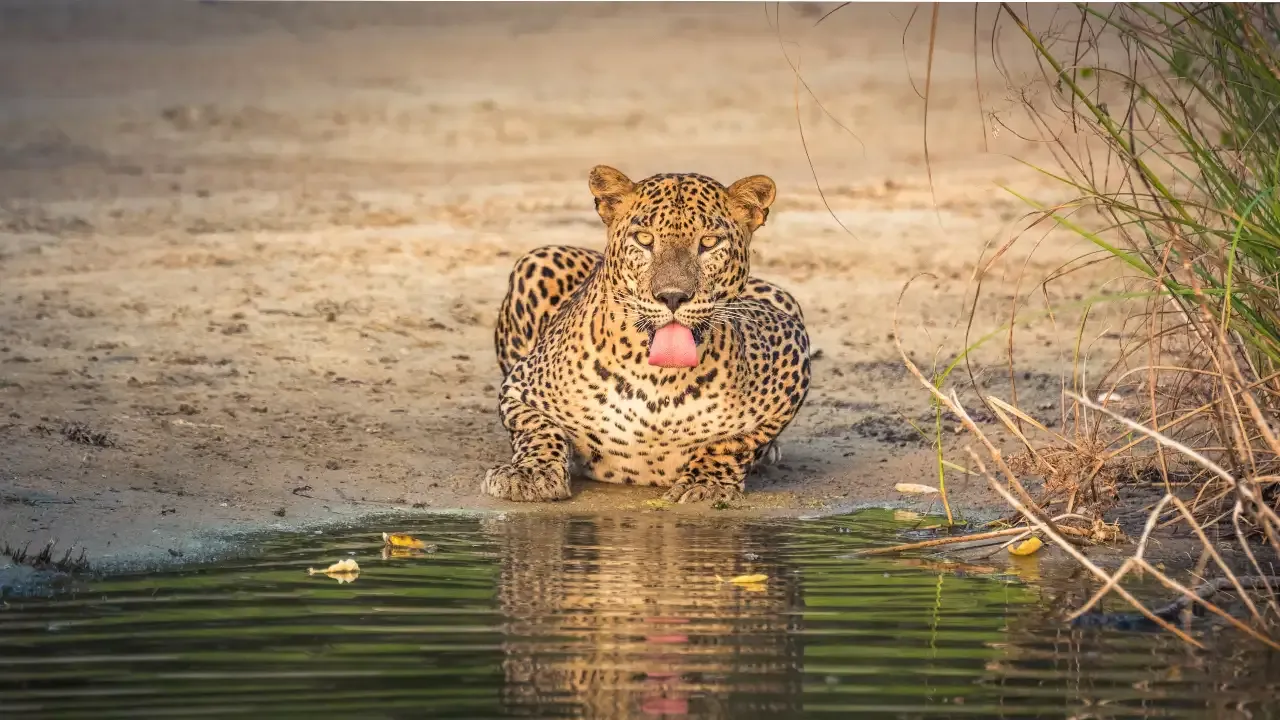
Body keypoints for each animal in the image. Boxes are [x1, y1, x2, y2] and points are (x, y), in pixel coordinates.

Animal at [483, 165, 810, 504]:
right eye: (644, 239)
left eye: (708, 242)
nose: (672, 296)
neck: (658, 381)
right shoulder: (520, 387)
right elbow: (538, 428)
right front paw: (530, 474)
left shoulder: (791, 346)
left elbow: (735, 441)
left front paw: (705, 483)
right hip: (538, 259)